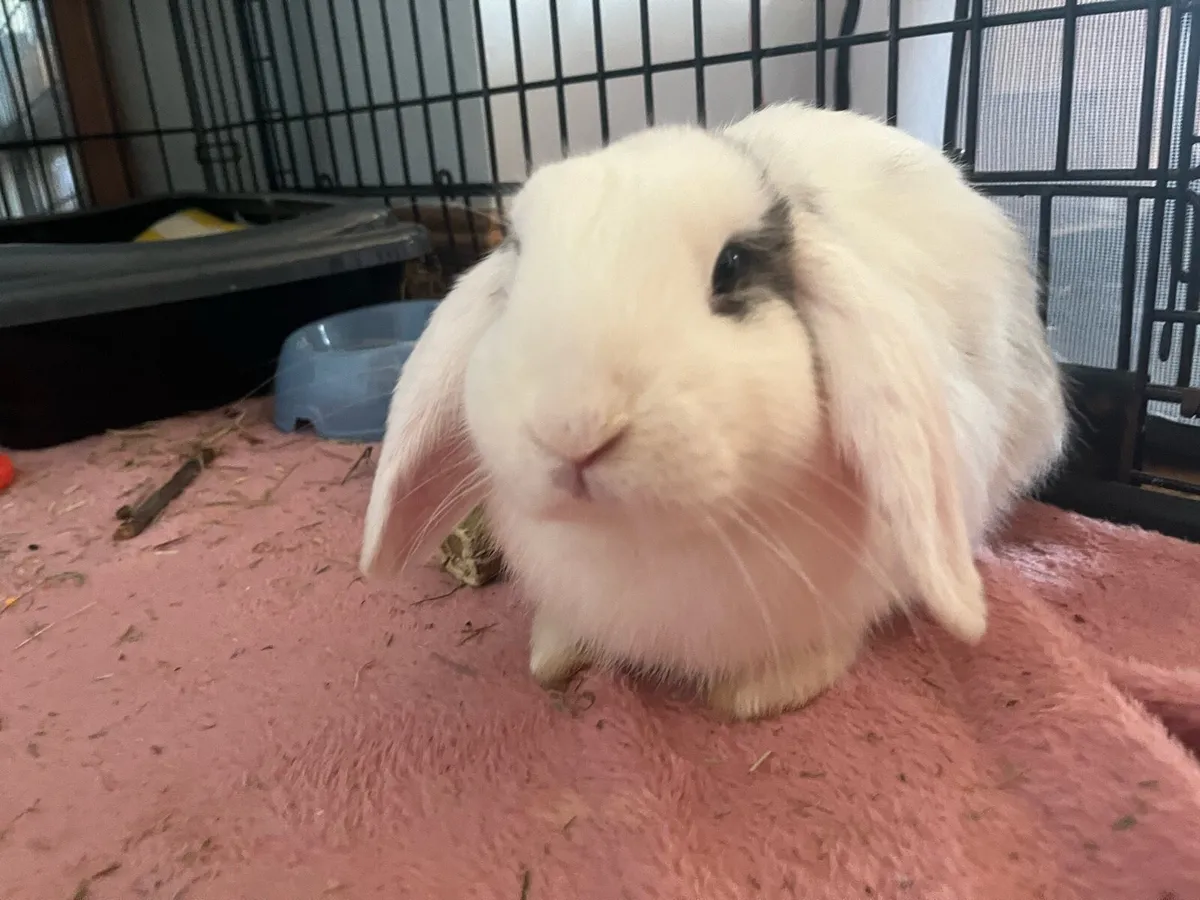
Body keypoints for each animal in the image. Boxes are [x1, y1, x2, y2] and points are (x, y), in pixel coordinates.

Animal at [359, 102, 1068, 721]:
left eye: (730, 268)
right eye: (518, 267)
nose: (571, 430)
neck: (645, 543)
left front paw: (759, 697)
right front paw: (552, 657)